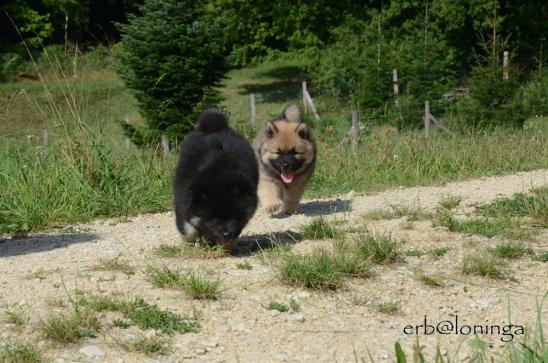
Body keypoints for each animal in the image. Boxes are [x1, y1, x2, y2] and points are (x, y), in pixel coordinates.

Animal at [173, 109, 260, 247]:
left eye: (234, 216)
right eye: (214, 218)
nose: (226, 234)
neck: (218, 171)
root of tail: (215, 127)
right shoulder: (183, 198)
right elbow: (187, 229)